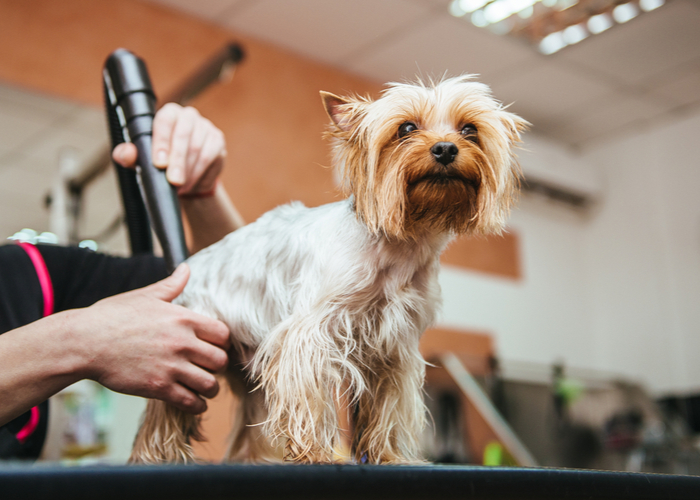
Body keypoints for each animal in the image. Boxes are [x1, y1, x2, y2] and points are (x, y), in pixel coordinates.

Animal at [130, 74, 524, 464]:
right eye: (406, 128)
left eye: (469, 130)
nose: (445, 149)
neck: (400, 244)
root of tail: (188, 266)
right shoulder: (309, 334)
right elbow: (309, 395)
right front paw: (315, 452)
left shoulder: (393, 348)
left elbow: (385, 409)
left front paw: (387, 455)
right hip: (186, 355)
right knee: (164, 415)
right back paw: (154, 456)